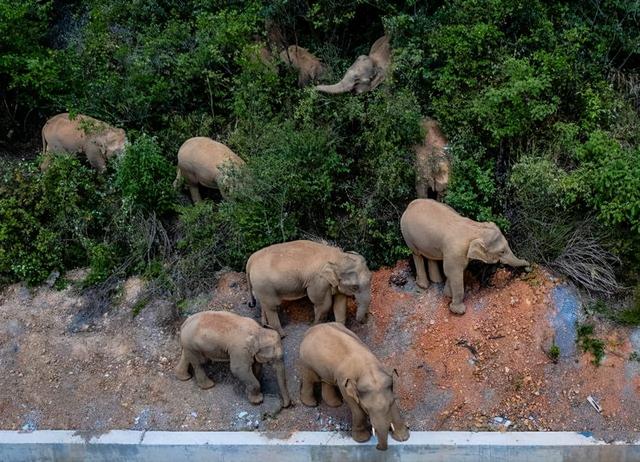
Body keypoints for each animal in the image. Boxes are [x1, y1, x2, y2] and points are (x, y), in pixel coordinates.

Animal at [246, 242, 376, 336]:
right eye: (355, 287)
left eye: (371, 278)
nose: (364, 320)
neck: (338, 257)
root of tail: (250, 260)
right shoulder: (318, 281)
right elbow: (324, 305)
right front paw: (314, 326)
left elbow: (340, 304)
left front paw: (341, 329)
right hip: (264, 285)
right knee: (272, 307)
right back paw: (282, 335)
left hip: (261, 287)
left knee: (265, 304)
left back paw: (265, 326)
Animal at [400, 199, 528, 314]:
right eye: (501, 252)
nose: (528, 267)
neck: (475, 228)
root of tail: (410, 205)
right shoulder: (455, 251)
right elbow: (453, 272)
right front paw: (459, 310)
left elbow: (454, 272)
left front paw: (447, 294)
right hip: (407, 234)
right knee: (417, 255)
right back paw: (423, 286)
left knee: (431, 257)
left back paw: (436, 281)